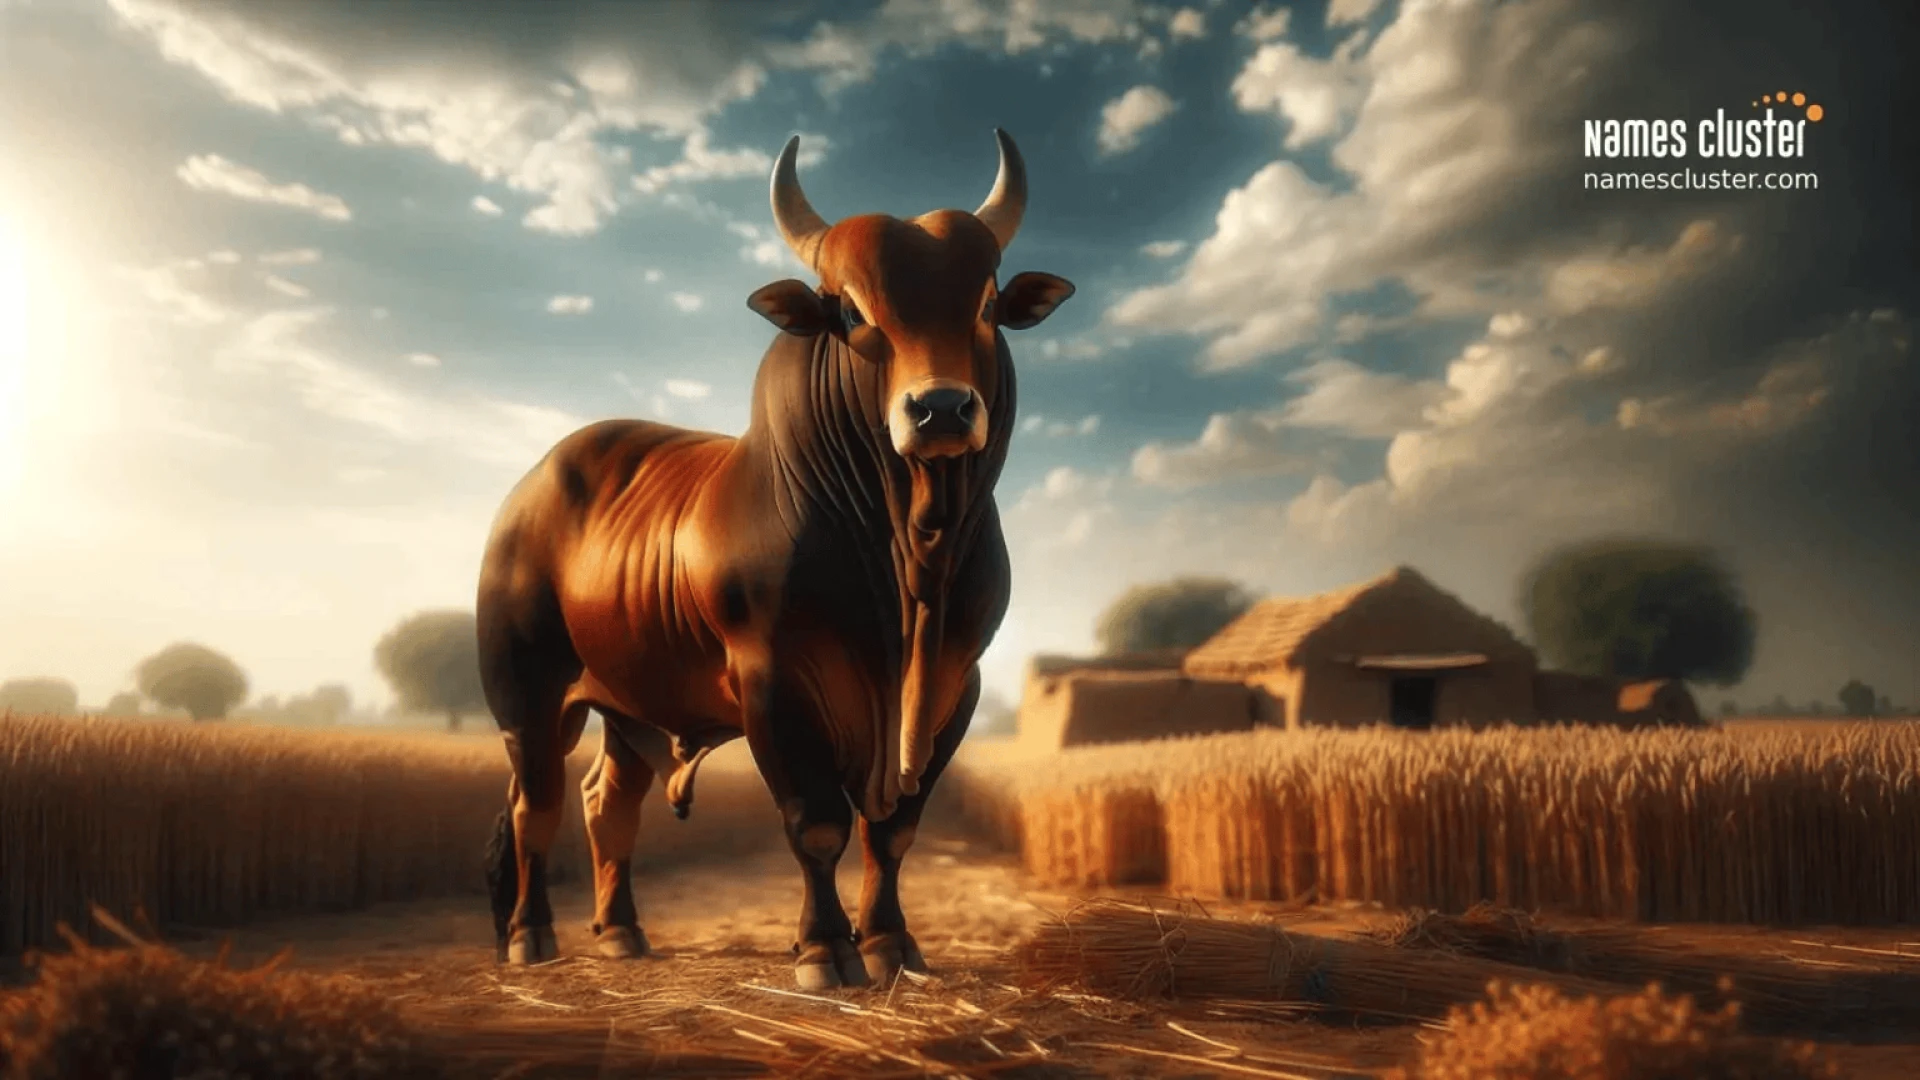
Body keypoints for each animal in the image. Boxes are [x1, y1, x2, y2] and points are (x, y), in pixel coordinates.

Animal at [476, 129, 1074, 990]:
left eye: (987, 306)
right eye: (852, 310)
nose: (942, 409)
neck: (904, 556)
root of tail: (531, 487)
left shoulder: (956, 685)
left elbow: (895, 831)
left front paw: (891, 943)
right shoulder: (773, 684)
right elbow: (817, 824)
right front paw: (825, 949)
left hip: (630, 706)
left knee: (607, 804)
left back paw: (622, 931)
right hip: (527, 696)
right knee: (537, 807)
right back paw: (530, 935)